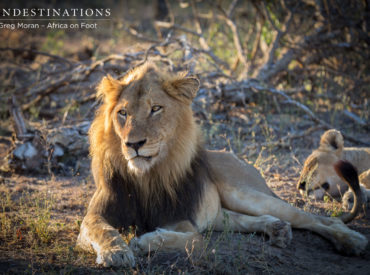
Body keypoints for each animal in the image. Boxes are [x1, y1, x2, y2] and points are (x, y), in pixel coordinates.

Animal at [76, 64, 368, 268]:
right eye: (122, 113)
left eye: (156, 108)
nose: (133, 144)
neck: (144, 176)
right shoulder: (96, 216)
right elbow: (104, 231)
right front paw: (116, 253)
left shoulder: (183, 222)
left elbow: (192, 240)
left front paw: (143, 242)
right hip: (221, 212)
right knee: (248, 220)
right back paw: (278, 230)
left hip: (245, 193)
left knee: (319, 219)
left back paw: (352, 241)